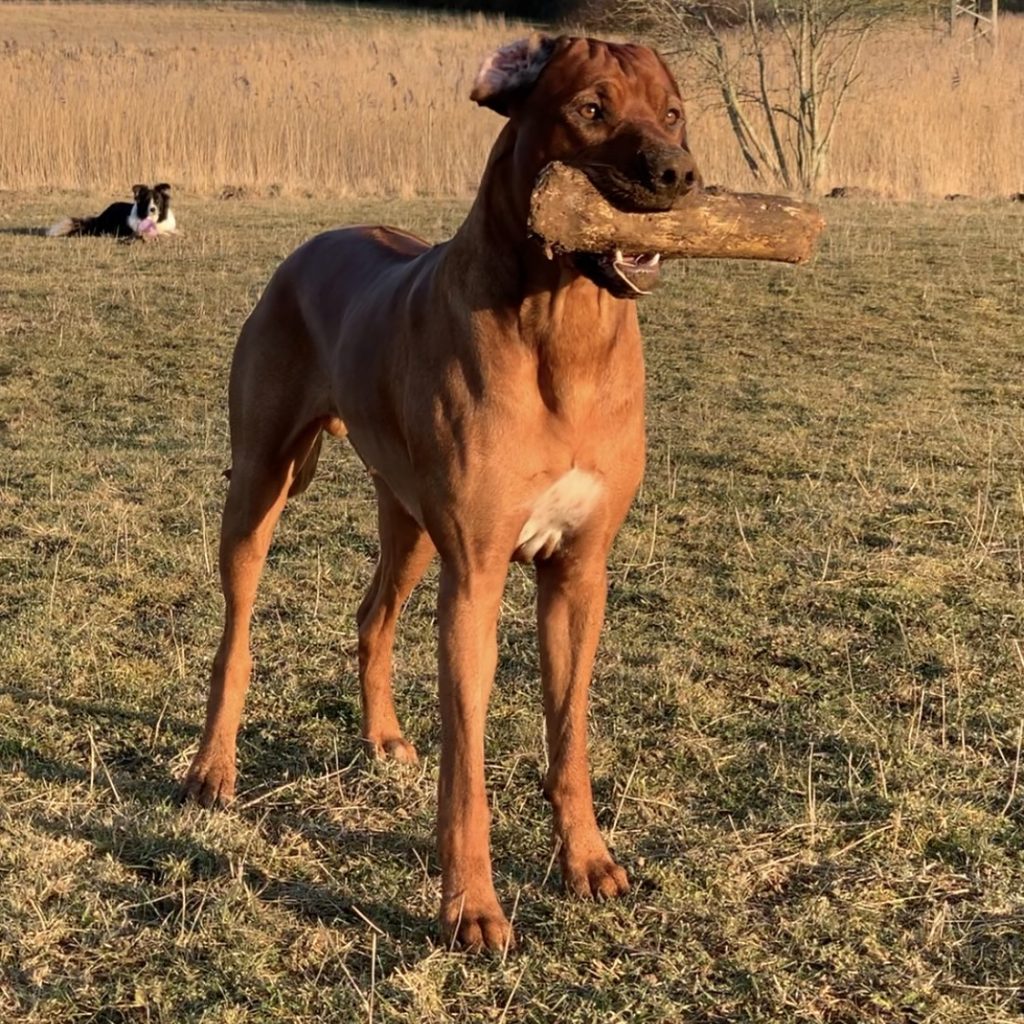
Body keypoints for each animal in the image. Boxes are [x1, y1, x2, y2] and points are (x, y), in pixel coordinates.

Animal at [182, 32, 696, 946]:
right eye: (590, 109)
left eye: (673, 113)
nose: (675, 172)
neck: (565, 327)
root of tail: (315, 242)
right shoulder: (475, 580)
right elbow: (467, 773)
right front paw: (472, 908)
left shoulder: (579, 573)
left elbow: (570, 738)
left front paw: (586, 860)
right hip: (259, 489)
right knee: (234, 636)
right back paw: (213, 766)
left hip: (412, 522)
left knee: (372, 616)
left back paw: (382, 736)